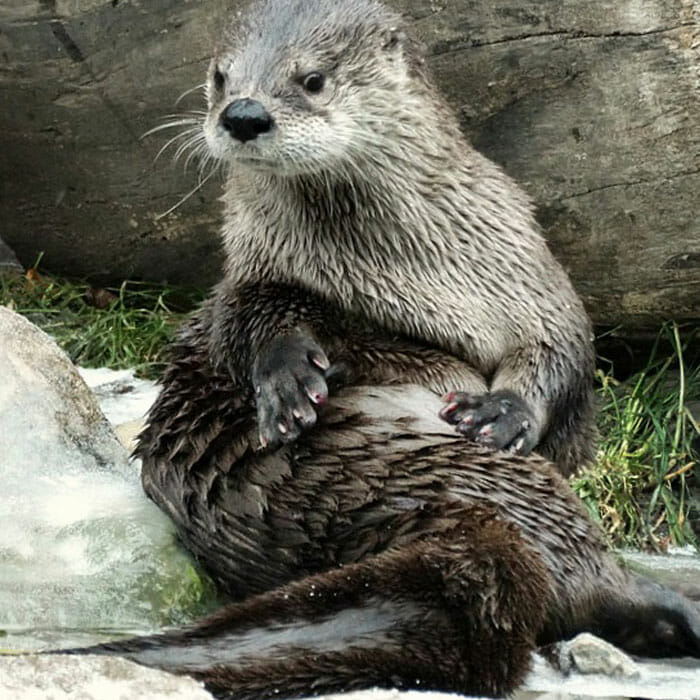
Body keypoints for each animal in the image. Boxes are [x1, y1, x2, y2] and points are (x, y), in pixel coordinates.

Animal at [67, 0, 700, 696]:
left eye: (312, 79)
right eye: (220, 77)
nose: (243, 114)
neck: (407, 273)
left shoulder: (526, 269)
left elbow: (564, 348)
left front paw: (505, 412)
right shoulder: (255, 273)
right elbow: (248, 316)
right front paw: (288, 378)